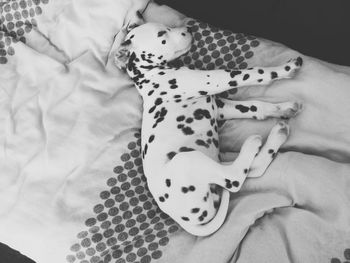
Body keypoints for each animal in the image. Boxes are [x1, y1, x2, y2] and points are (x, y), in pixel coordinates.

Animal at [115, 22, 304, 237]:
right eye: (162, 33)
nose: (189, 29)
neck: (151, 76)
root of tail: (186, 222)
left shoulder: (219, 108)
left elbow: (255, 107)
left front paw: (282, 108)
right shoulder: (219, 79)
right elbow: (255, 73)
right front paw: (286, 68)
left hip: (212, 163)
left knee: (251, 169)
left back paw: (277, 135)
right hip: (187, 158)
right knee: (234, 179)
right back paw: (253, 143)